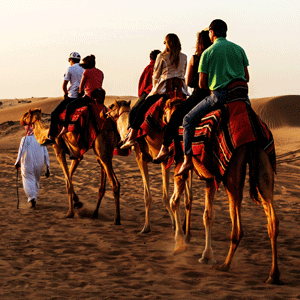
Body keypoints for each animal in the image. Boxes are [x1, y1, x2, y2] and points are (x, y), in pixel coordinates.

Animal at [106, 99, 192, 236]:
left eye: (111, 106)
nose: (105, 112)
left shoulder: (141, 157)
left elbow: (148, 196)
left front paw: (146, 227)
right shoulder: (164, 161)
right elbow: (165, 195)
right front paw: (174, 224)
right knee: (189, 197)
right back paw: (186, 229)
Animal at [163, 99, 280, 286]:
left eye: (165, 111)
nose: (164, 120)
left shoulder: (181, 166)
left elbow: (175, 202)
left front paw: (179, 245)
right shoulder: (210, 179)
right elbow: (208, 215)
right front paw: (206, 255)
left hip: (232, 175)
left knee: (238, 226)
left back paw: (225, 265)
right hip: (263, 162)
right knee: (273, 221)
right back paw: (273, 275)